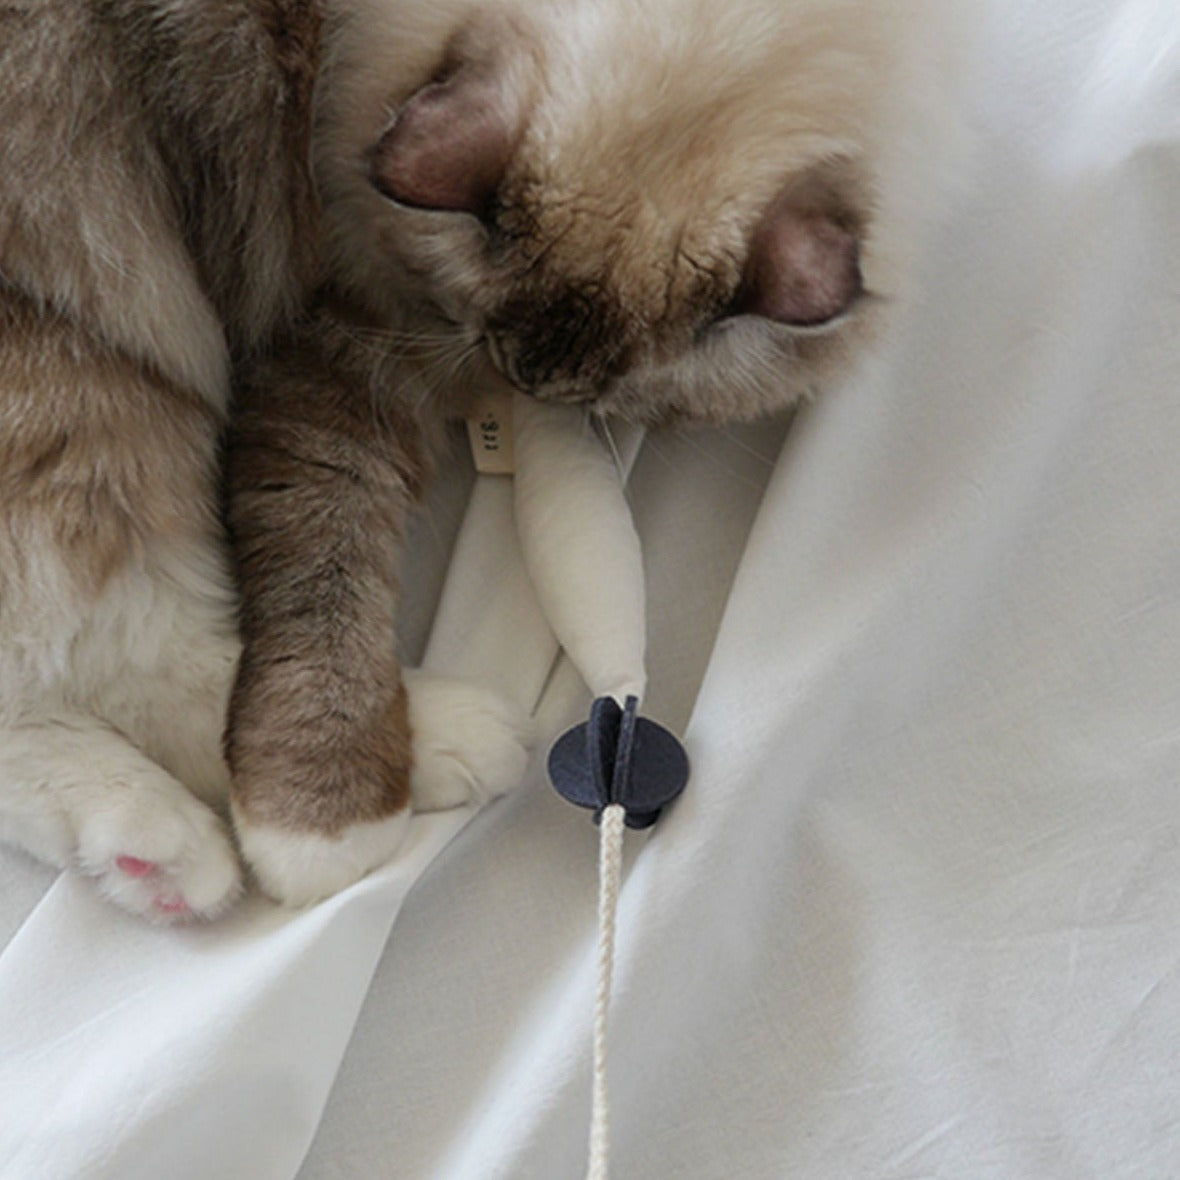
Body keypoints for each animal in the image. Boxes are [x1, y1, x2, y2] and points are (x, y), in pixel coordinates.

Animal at [223, 0, 958, 901]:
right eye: (490, 340)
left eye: (599, 400)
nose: (521, 391)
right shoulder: (337, 335)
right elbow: (323, 568)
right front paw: (320, 825)